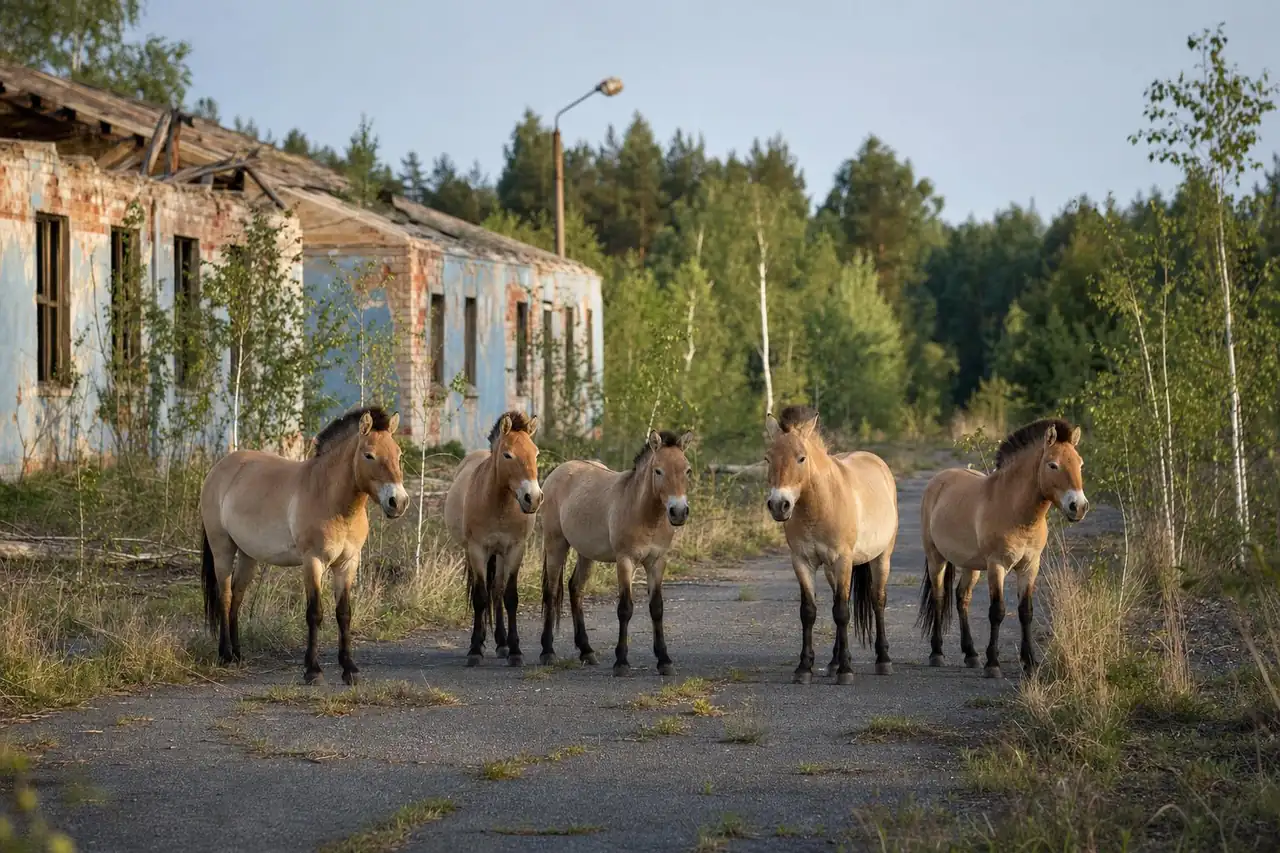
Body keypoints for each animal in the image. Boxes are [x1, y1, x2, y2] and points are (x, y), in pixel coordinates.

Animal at [200, 406, 409, 685]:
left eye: (398, 454)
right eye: (369, 455)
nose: (398, 502)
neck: (331, 499)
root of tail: (218, 469)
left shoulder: (348, 563)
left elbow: (344, 613)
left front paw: (349, 669)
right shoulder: (313, 561)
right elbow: (314, 613)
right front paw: (313, 671)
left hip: (247, 555)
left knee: (237, 596)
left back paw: (238, 654)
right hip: (222, 547)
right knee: (224, 596)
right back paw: (225, 655)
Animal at [443, 411, 543, 667]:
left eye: (536, 453)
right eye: (508, 454)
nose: (533, 498)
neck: (499, 504)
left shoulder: (515, 549)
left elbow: (509, 597)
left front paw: (515, 650)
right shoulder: (477, 550)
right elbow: (479, 597)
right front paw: (475, 650)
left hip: (499, 555)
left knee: (496, 591)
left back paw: (502, 643)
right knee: (484, 593)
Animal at [538, 429, 694, 677]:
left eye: (687, 470)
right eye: (658, 471)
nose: (678, 512)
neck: (644, 513)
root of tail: (559, 471)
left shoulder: (656, 562)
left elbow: (657, 608)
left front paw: (664, 660)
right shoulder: (625, 561)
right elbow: (625, 608)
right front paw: (621, 662)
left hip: (586, 553)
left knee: (575, 588)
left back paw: (586, 651)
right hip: (555, 545)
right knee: (551, 592)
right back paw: (547, 652)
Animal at [764, 405, 898, 685]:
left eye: (801, 458)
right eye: (768, 459)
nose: (779, 505)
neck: (819, 505)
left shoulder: (842, 560)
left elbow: (842, 612)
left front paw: (846, 672)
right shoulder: (802, 562)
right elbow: (809, 612)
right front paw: (804, 668)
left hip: (882, 558)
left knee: (877, 600)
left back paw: (883, 660)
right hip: (829, 570)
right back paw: (834, 662)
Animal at [917, 418, 1089, 678]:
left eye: (1080, 463)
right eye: (1053, 465)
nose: (1078, 507)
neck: (1013, 508)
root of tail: (938, 481)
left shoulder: (1029, 567)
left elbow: (1025, 611)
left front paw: (1030, 662)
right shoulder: (997, 565)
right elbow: (997, 611)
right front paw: (993, 664)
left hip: (971, 566)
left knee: (962, 598)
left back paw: (971, 654)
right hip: (936, 558)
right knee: (939, 597)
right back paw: (937, 653)